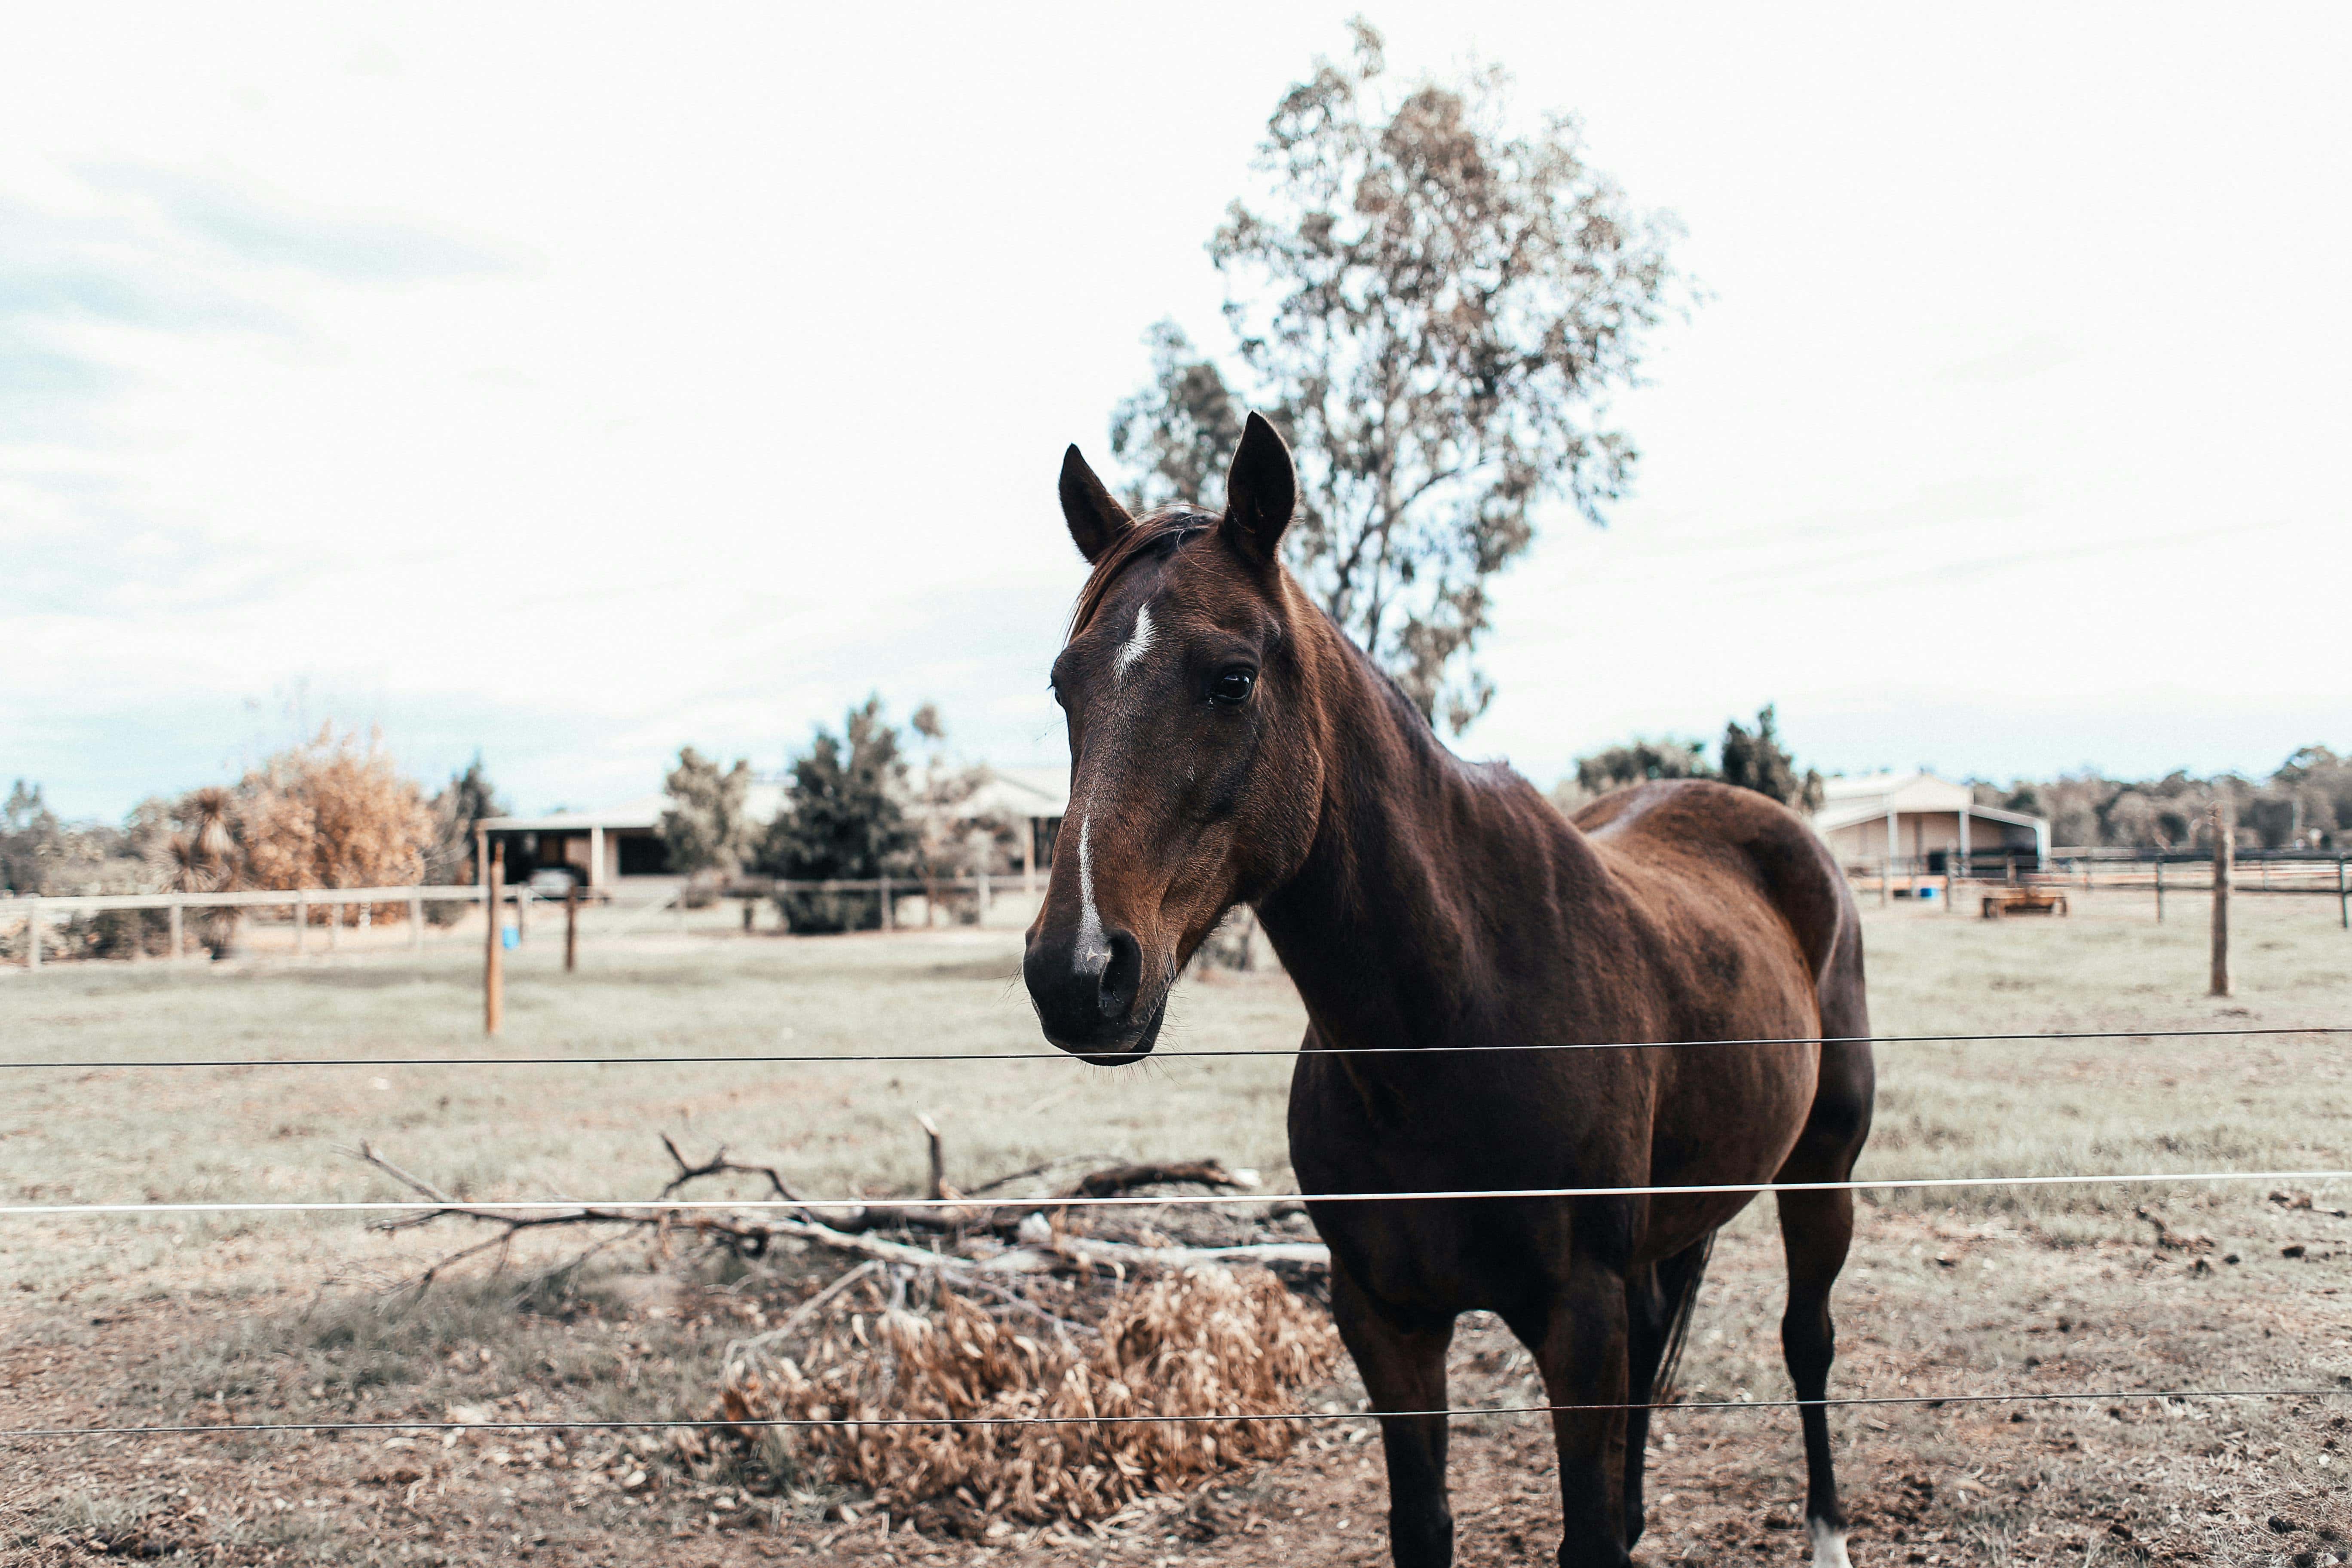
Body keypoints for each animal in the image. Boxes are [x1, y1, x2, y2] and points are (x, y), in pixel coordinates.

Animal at [1022, 412, 1875, 1568]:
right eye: (1066, 686)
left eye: (1232, 678)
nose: (1075, 973)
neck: (1447, 1030)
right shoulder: (1386, 1320)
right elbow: (1426, 1526)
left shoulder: (1576, 1324)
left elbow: (1586, 1532)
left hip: (1820, 1172)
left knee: (1807, 1342)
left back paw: (1826, 1531)